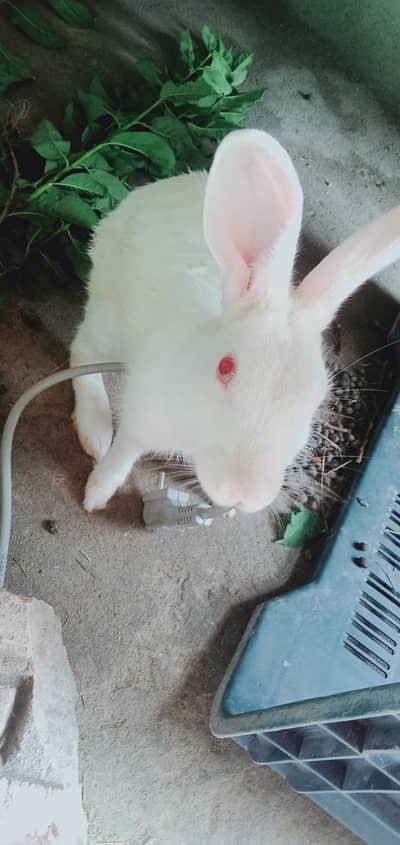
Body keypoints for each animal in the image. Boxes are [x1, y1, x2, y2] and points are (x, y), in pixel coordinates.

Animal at [70, 128, 400, 514]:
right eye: (225, 367)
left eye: (316, 398)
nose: (244, 494)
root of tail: (163, 187)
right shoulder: (142, 418)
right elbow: (123, 455)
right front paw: (96, 494)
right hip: (108, 313)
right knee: (83, 351)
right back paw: (95, 430)